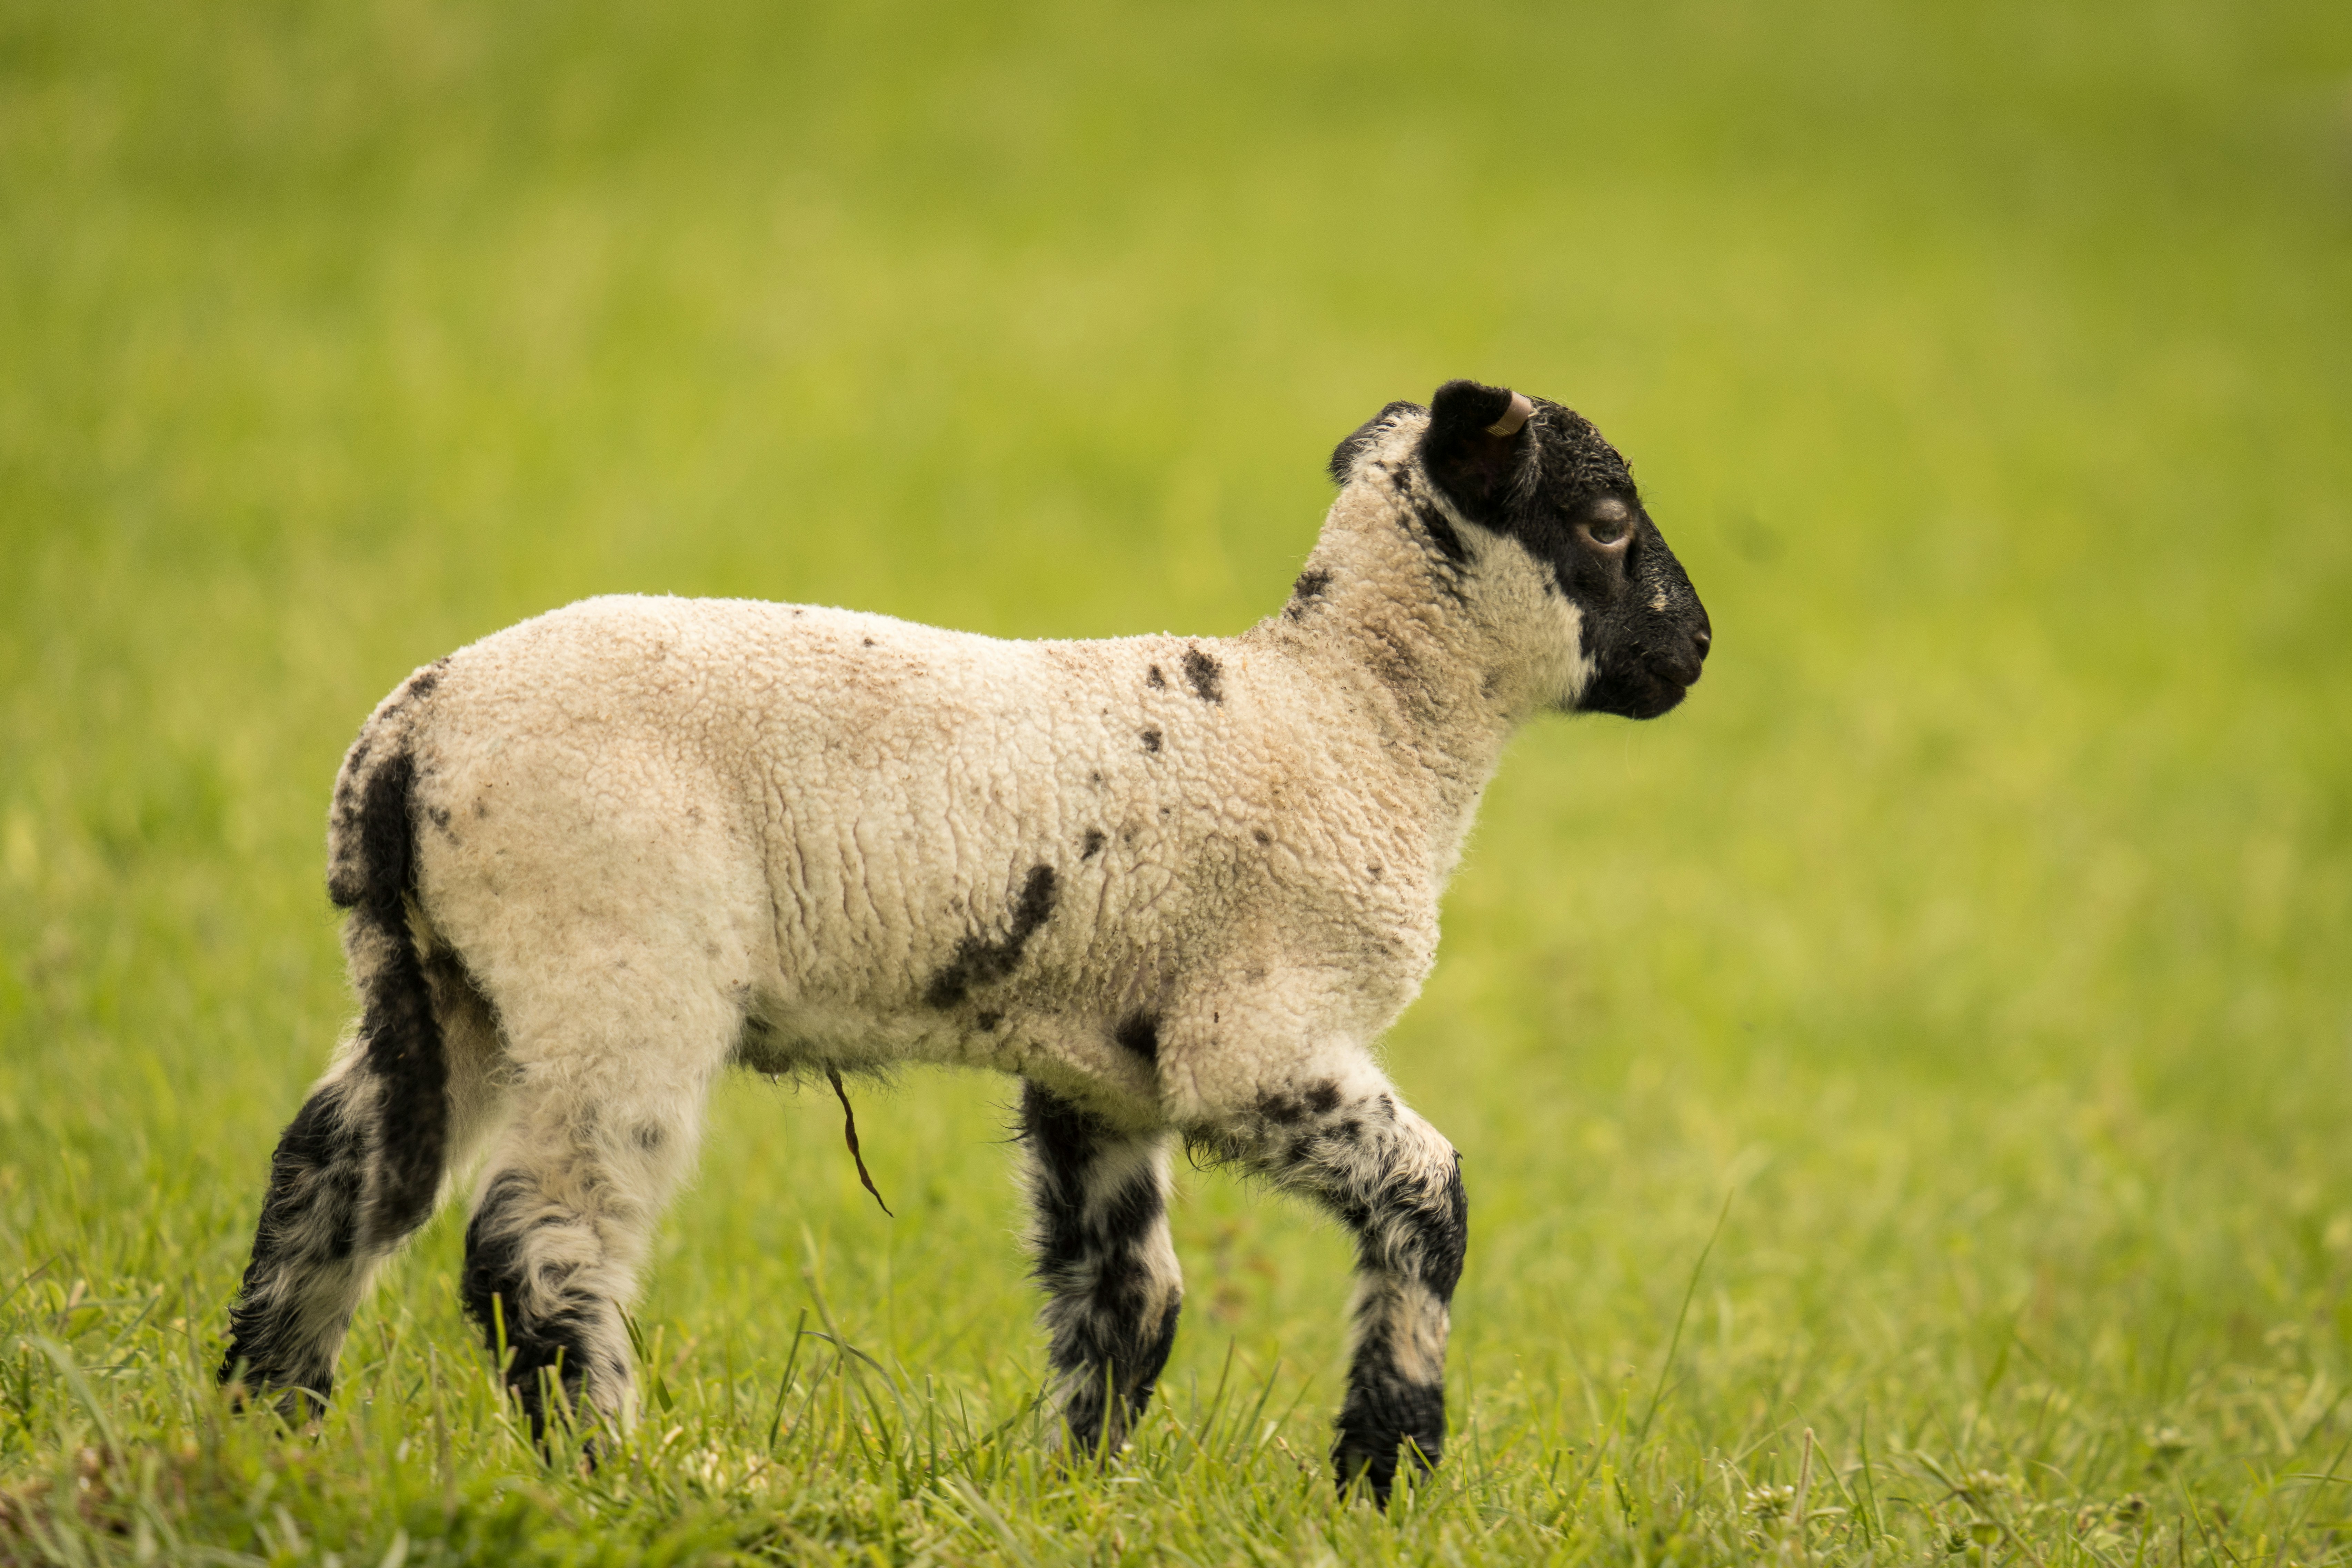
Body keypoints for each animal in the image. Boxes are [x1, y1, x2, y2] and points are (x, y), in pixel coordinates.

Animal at [217, 378, 1711, 1502]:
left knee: (333, 1172)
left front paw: (1080, 1489)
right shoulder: (1252, 1032)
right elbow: (1428, 1191)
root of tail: (407, 733)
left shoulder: (1104, 1070)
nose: (1696, 647)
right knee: (538, 1235)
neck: (1361, 721)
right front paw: (1382, 1467)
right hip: (613, 961)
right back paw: (603, 1466)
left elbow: (1129, 1293)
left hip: (445, 979)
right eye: (1605, 518)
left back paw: (263, 1427)